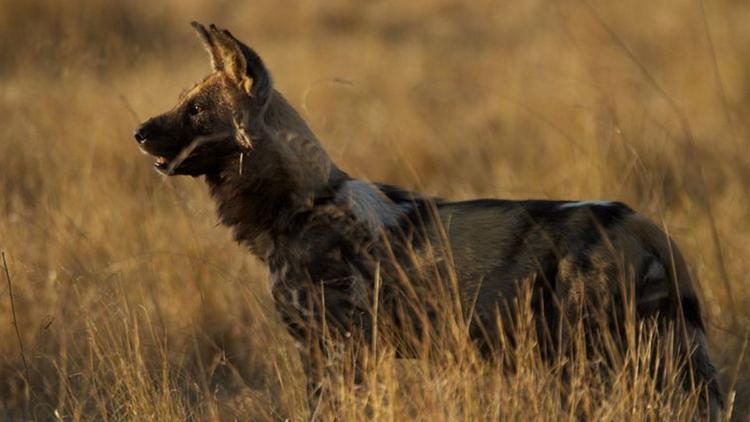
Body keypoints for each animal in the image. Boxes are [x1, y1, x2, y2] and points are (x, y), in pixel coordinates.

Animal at [138, 22, 724, 416]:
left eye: (195, 111)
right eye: (182, 101)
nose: (138, 133)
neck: (303, 205)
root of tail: (640, 220)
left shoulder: (339, 349)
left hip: (596, 358)